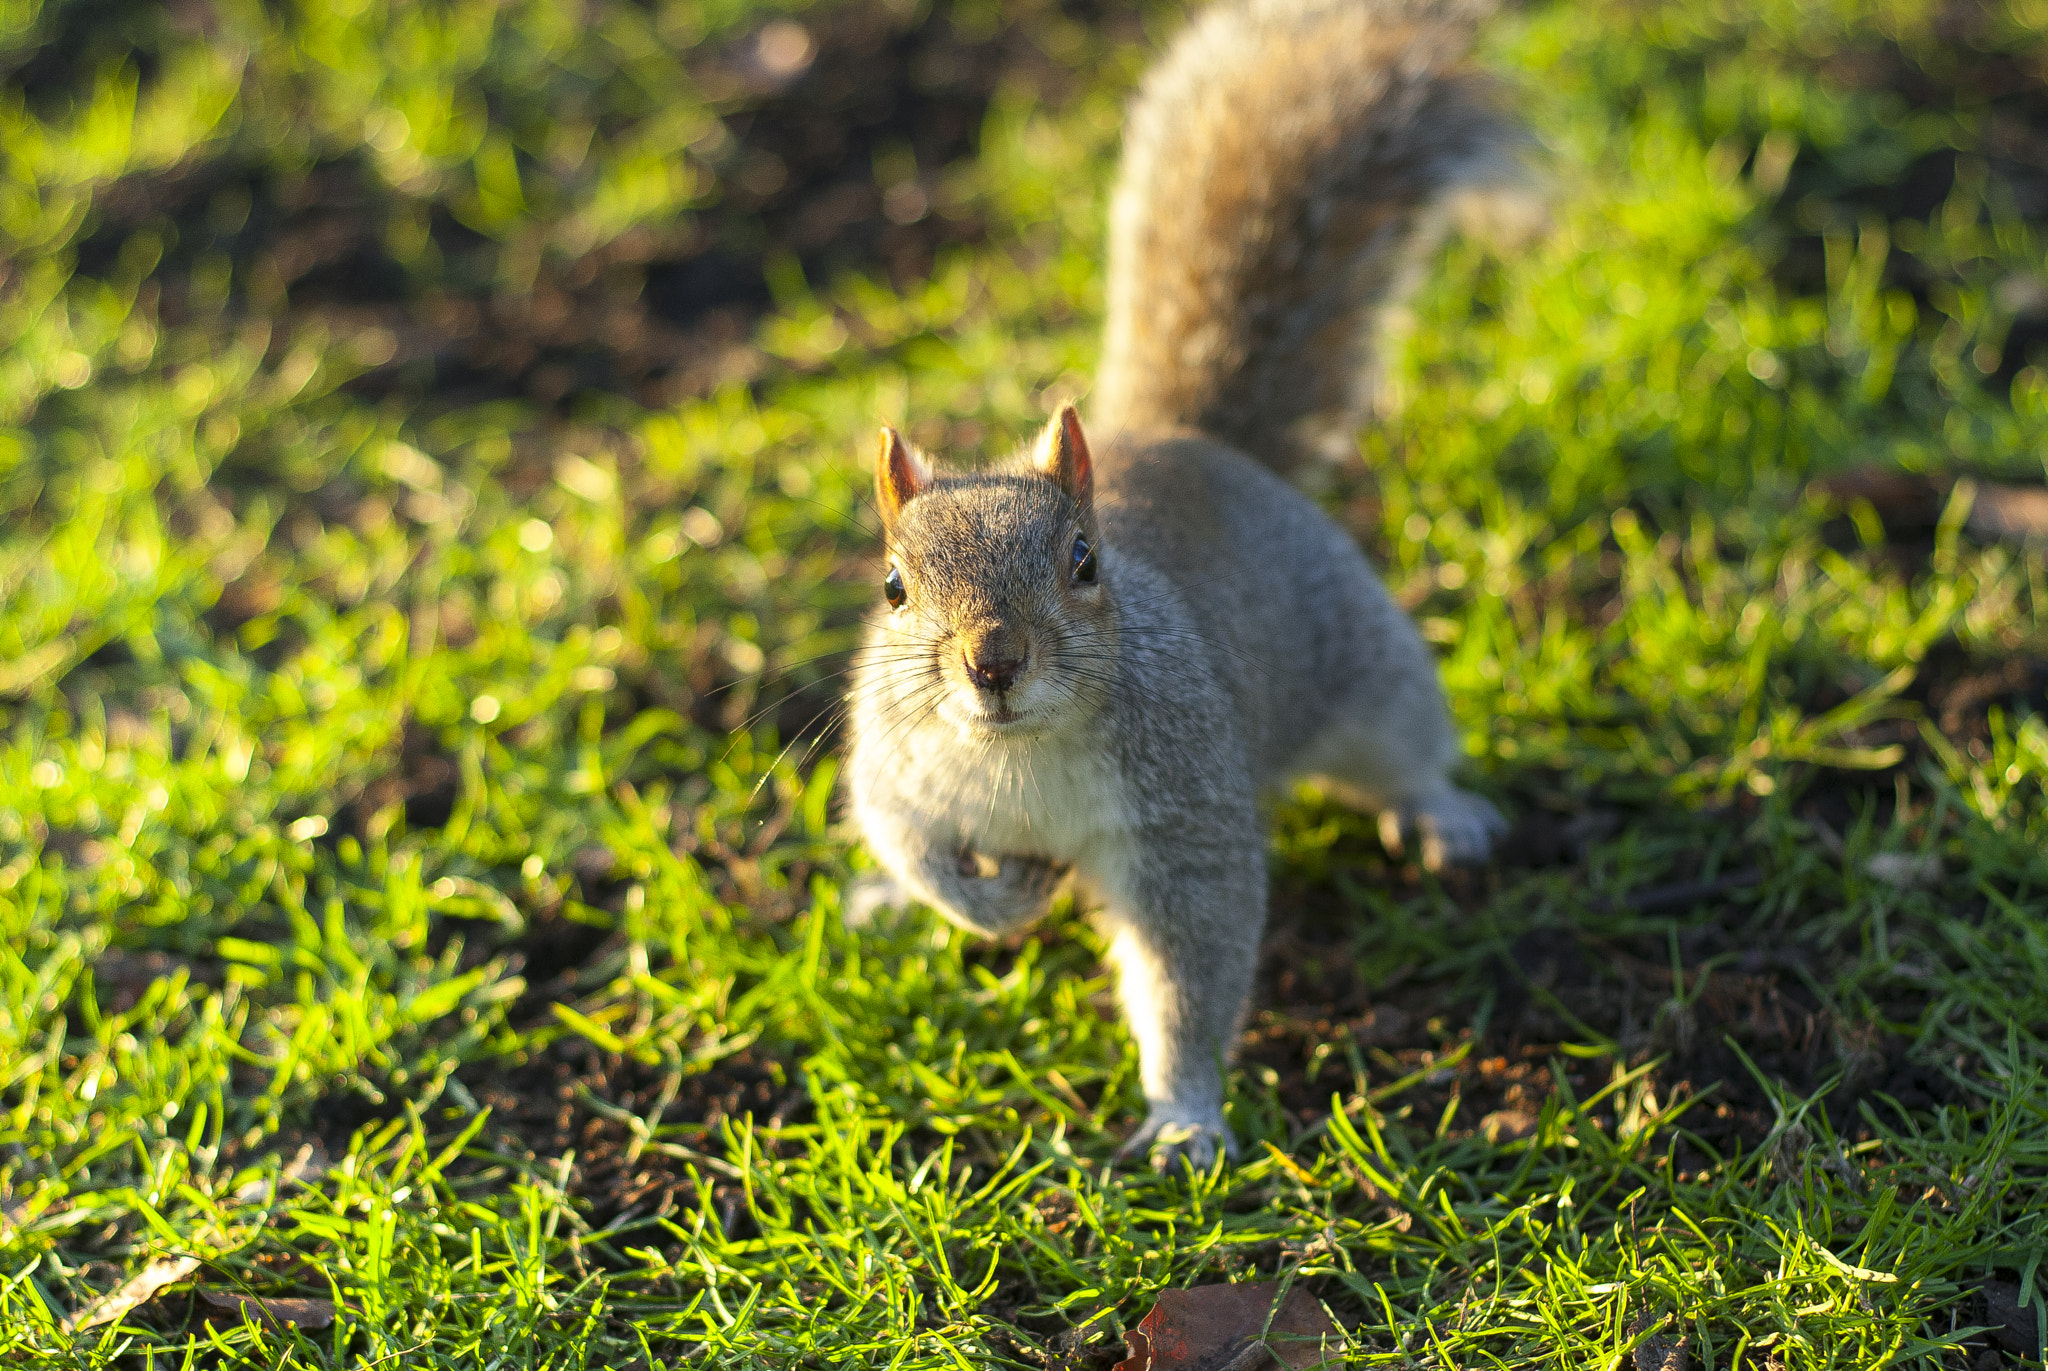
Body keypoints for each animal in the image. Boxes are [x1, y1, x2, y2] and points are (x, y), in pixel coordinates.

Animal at [839, 0, 1531, 1164]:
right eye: (893, 587)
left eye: (1084, 562)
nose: (993, 663)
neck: (1017, 755)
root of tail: (1186, 442)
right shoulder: (898, 772)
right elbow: (913, 846)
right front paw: (984, 905)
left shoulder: (1181, 817)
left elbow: (1190, 967)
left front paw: (1183, 1114)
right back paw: (883, 904)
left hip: (1365, 667)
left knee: (1402, 748)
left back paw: (1442, 813)